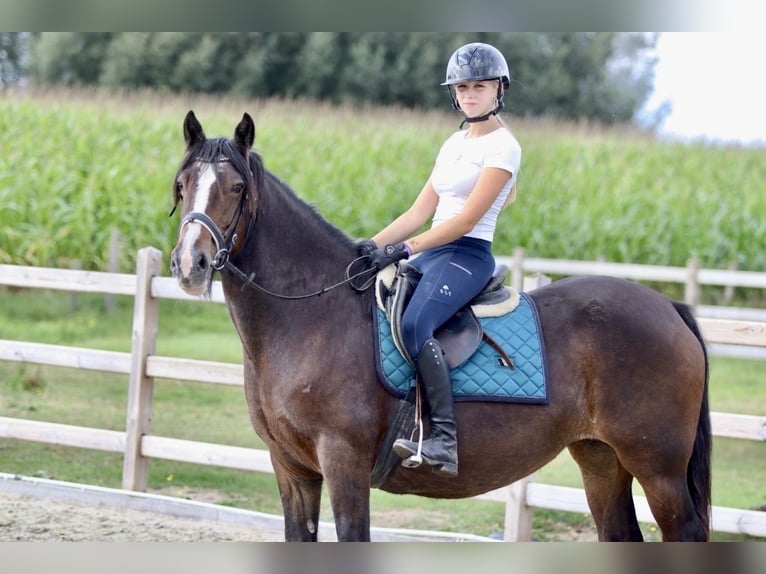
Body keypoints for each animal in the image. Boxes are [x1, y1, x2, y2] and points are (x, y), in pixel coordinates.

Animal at [170, 110, 712, 544]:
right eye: (182, 185)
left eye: (237, 188)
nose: (191, 264)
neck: (311, 318)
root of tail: (667, 305)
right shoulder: (292, 469)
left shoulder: (343, 464)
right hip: (601, 458)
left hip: (658, 470)